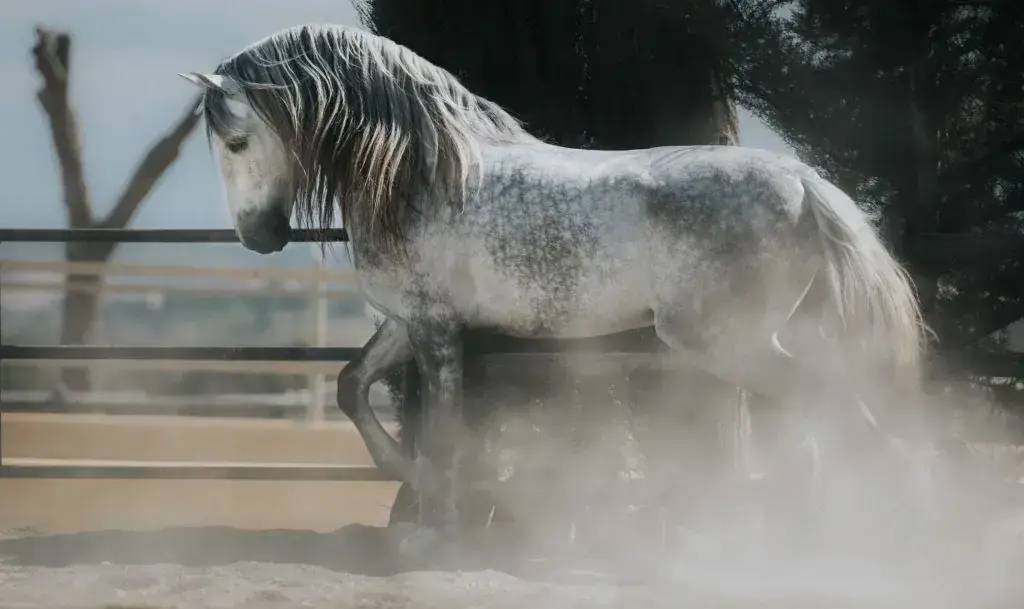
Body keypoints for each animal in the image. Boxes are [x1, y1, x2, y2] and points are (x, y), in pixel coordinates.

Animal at [180, 23, 929, 547]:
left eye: (236, 141)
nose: (260, 236)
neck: (421, 173)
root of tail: (802, 184)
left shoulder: (435, 329)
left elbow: (443, 427)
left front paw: (437, 526)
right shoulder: (402, 320)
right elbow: (350, 386)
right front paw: (414, 487)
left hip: (726, 340)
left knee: (838, 409)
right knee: (825, 416)